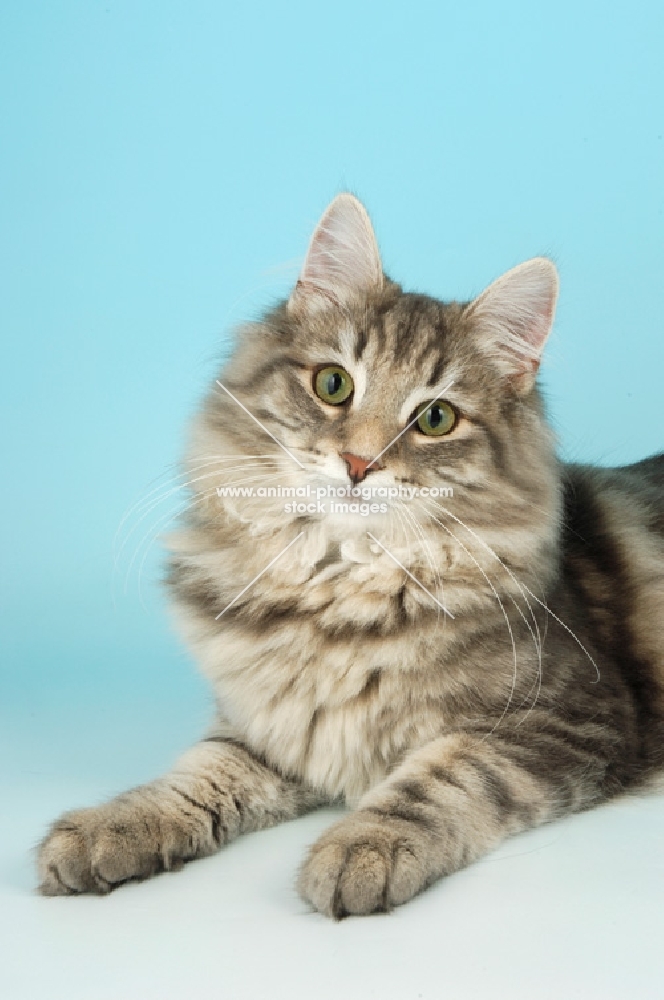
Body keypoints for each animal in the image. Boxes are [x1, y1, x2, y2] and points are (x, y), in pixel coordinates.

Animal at [37, 193, 664, 916]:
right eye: (334, 385)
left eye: (435, 419)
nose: (359, 463)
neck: (336, 592)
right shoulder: (275, 726)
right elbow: (197, 775)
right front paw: (114, 824)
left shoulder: (570, 717)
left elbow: (446, 775)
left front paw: (366, 846)